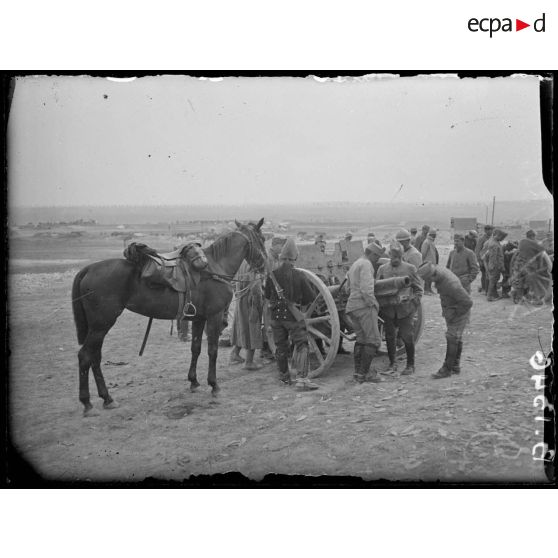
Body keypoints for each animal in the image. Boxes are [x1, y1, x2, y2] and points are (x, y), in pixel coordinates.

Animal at [71, 219, 266, 416]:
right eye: (263, 239)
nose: (264, 265)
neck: (215, 267)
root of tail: (88, 269)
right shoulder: (214, 316)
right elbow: (212, 350)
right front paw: (214, 385)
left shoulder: (199, 319)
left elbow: (196, 348)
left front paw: (194, 381)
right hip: (101, 325)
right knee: (85, 356)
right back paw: (87, 402)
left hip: (98, 327)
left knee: (95, 357)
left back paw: (107, 398)